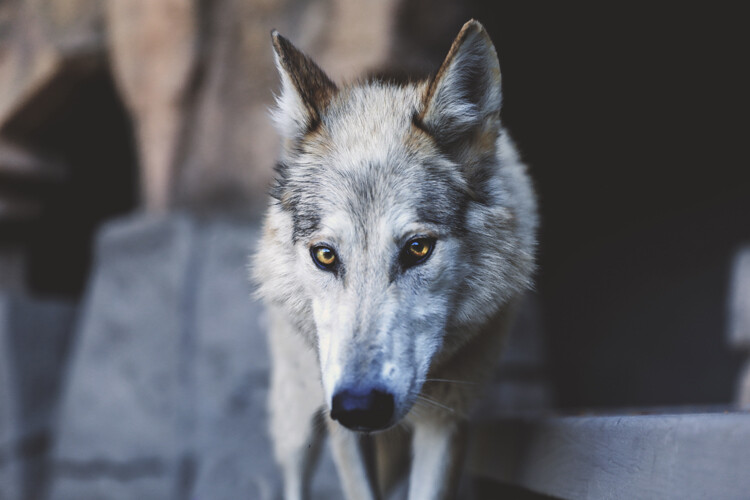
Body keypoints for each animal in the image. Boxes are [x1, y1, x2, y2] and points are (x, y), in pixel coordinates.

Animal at [253, 19, 537, 500]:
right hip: (297, 420)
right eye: (325, 255)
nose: (360, 406)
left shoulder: (447, 420)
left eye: (418, 249)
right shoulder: (338, 421)